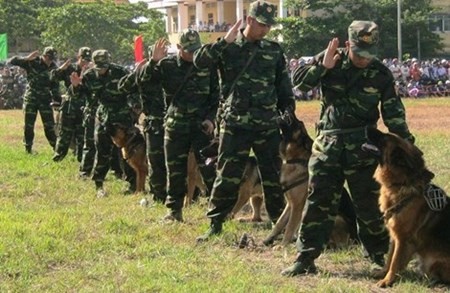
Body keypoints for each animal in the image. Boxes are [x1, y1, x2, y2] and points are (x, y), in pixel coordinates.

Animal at [364, 127, 450, 286]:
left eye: (384, 137)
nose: (366, 127)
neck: (401, 183)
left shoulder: (402, 239)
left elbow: (395, 262)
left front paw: (387, 281)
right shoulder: (394, 236)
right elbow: (389, 258)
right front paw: (383, 274)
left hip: (435, 263)